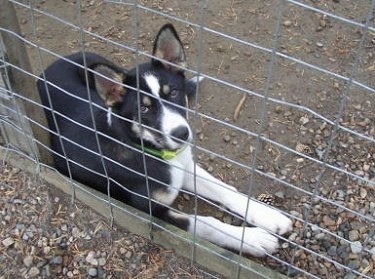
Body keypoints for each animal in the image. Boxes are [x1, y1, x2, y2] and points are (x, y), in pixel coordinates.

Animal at [36, 24, 292, 258]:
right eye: (144, 109)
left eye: (174, 93)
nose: (182, 134)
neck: (150, 149)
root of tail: (53, 63)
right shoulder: (151, 211)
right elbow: (205, 223)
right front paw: (253, 239)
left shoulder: (184, 168)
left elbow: (223, 188)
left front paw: (267, 215)